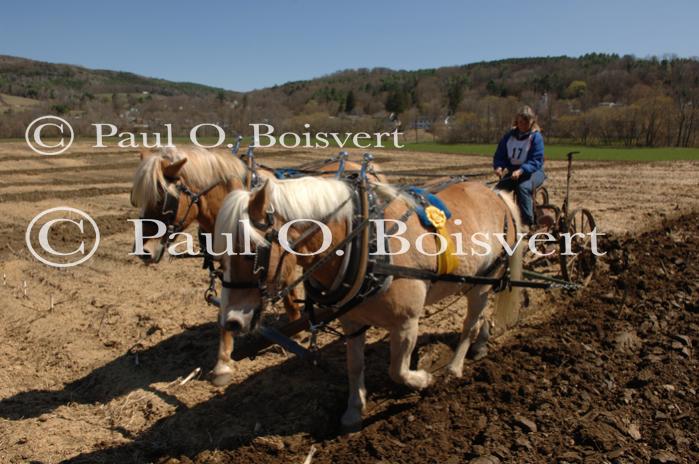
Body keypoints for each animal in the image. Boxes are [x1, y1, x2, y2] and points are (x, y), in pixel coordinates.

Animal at [213, 177, 524, 428]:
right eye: (219, 256)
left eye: (252, 253)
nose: (231, 322)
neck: (368, 244)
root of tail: (497, 194)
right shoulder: (353, 321)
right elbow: (354, 366)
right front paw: (353, 411)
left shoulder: (406, 322)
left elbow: (397, 371)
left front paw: (424, 379)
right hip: (476, 282)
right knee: (480, 318)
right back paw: (481, 344)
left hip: (484, 281)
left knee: (469, 323)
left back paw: (453, 368)